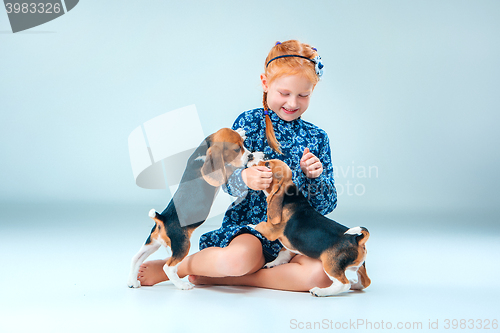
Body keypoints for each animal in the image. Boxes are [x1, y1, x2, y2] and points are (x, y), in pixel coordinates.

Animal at [129, 126, 254, 288]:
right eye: (237, 149)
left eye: (243, 145)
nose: (250, 156)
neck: (204, 151)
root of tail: (163, 218)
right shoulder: (225, 172)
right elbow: (232, 167)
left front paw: (240, 131)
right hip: (182, 245)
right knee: (168, 267)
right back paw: (182, 285)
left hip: (152, 243)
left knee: (136, 258)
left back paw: (132, 281)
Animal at [254, 158, 372, 296]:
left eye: (267, 164)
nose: (252, 157)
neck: (289, 195)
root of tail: (356, 239)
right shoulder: (289, 245)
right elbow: (283, 255)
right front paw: (272, 263)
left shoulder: (270, 230)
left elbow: (257, 225)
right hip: (360, 266)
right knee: (365, 282)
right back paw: (355, 284)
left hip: (330, 265)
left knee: (343, 284)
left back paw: (320, 291)